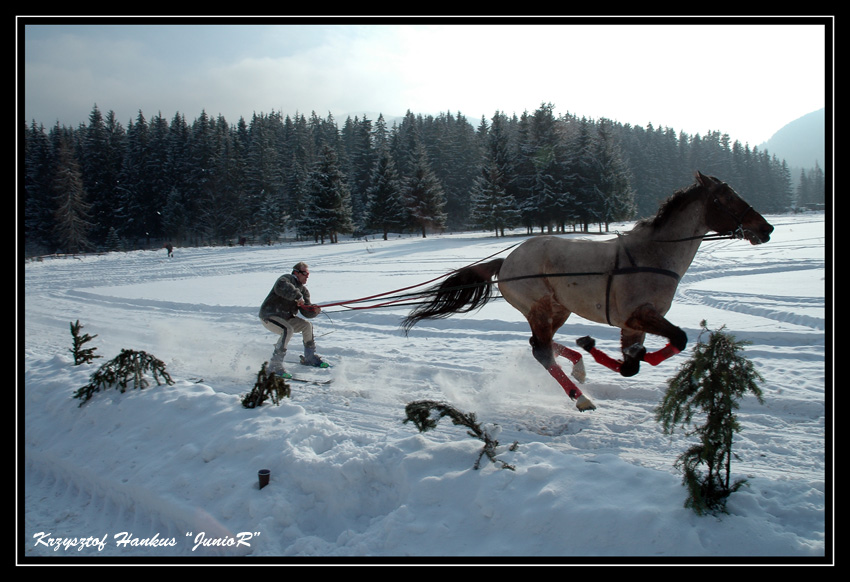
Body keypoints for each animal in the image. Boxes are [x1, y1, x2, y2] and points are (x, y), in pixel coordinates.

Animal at [400, 171, 772, 412]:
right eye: (725, 198)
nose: (765, 228)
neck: (653, 255)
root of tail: (507, 260)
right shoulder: (640, 315)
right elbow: (676, 340)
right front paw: (597, 351)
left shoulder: (632, 325)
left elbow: (633, 364)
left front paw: (597, 349)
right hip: (538, 307)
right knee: (542, 350)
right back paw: (580, 396)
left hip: (559, 308)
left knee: (540, 343)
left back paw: (579, 364)